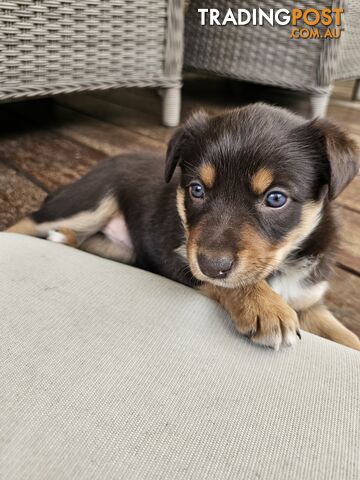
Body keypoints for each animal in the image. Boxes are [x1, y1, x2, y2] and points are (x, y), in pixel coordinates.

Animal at [8, 105, 360, 350]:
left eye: (276, 198)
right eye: (196, 190)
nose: (211, 265)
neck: (282, 265)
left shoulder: (310, 301)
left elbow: (345, 335)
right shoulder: (180, 256)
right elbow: (228, 283)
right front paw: (266, 306)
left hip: (121, 248)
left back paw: (64, 239)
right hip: (90, 201)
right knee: (28, 221)